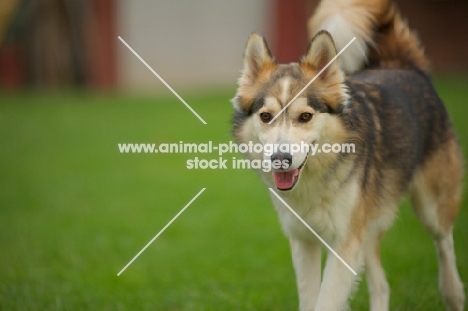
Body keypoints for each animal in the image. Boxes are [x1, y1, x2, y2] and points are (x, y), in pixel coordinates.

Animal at [231, 0, 464, 311]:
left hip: (430, 205)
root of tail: (401, 65)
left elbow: (326, 301)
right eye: (266, 116)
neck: (314, 180)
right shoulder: (303, 239)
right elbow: (311, 298)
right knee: (382, 284)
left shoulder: (345, 241)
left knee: (444, 242)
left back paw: (453, 293)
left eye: (305, 116)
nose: (280, 159)